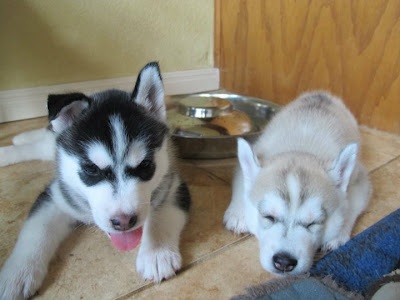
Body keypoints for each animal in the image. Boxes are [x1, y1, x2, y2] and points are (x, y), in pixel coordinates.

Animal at [0, 62, 191, 298]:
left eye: (145, 165)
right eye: (91, 169)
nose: (124, 221)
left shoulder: (172, 186)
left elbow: (161, 216)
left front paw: (157, 254)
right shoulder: (57, 196)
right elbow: (36, 231)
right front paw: (16, 275)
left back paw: (19, 139)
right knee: (42, 140)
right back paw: (12, 146)